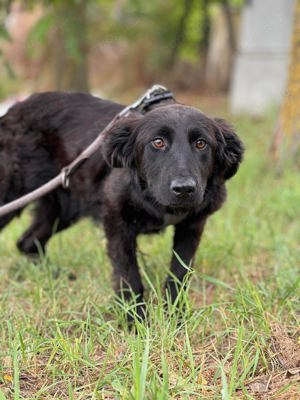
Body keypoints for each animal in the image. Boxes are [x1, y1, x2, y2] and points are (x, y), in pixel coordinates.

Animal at [0, 92, 244, 318]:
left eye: (201, 144)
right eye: (158, 142)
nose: (184, 189)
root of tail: (12, 110)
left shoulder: (192, 224)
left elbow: (179, 273)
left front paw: (176, 316)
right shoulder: (117, 222)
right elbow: (129, 275)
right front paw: (135, 321)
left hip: (63, 208)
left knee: (27, 242)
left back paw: (54, 274)